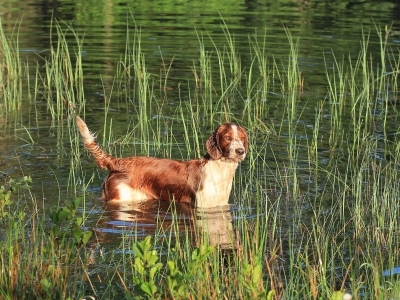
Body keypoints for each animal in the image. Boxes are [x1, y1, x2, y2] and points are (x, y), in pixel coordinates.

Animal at [76, 116, 247, 207]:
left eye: (242, 138)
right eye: (227, 137)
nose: (240, 151)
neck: (220, 169)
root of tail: (118, 162)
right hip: (121, 197)